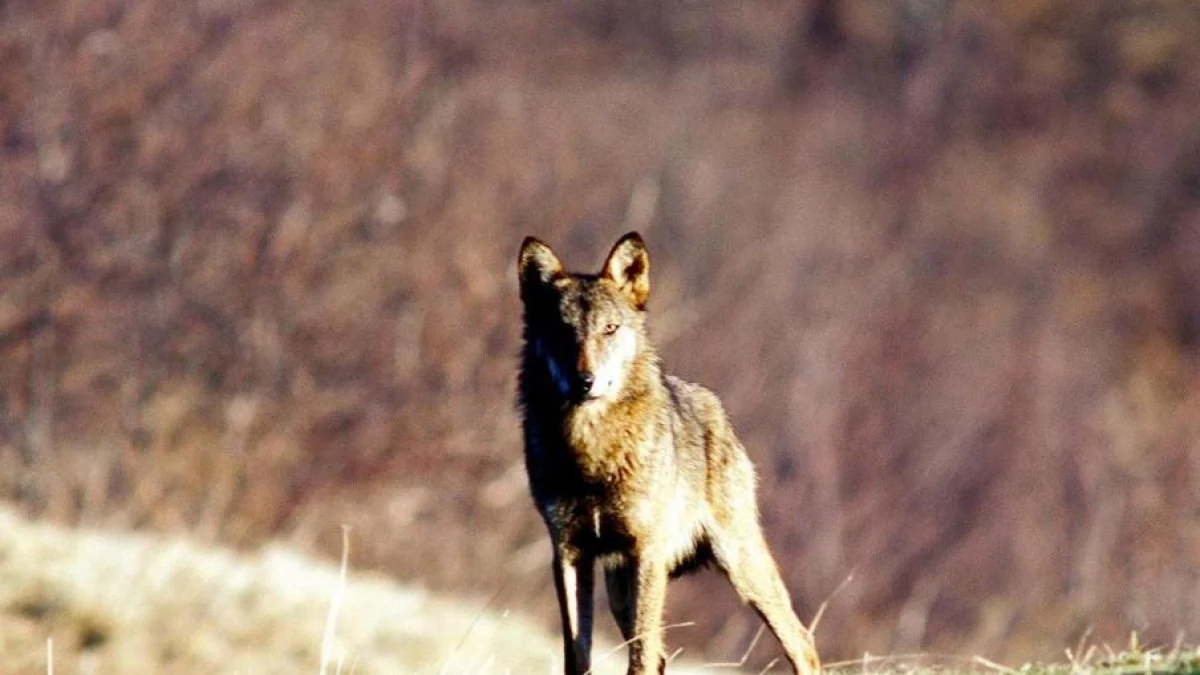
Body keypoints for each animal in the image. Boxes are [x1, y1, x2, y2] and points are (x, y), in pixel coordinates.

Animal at [516, 232, 821, 675]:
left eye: (610, 329)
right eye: (562, 330)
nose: (583, 381)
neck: (591, 453)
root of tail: (714, 405)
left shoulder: (646, 550)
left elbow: (640, 657)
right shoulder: (569, 553)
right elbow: (578, 655)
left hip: (739, 565)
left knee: (800, 639)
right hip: (620, 586)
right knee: (661, 655)